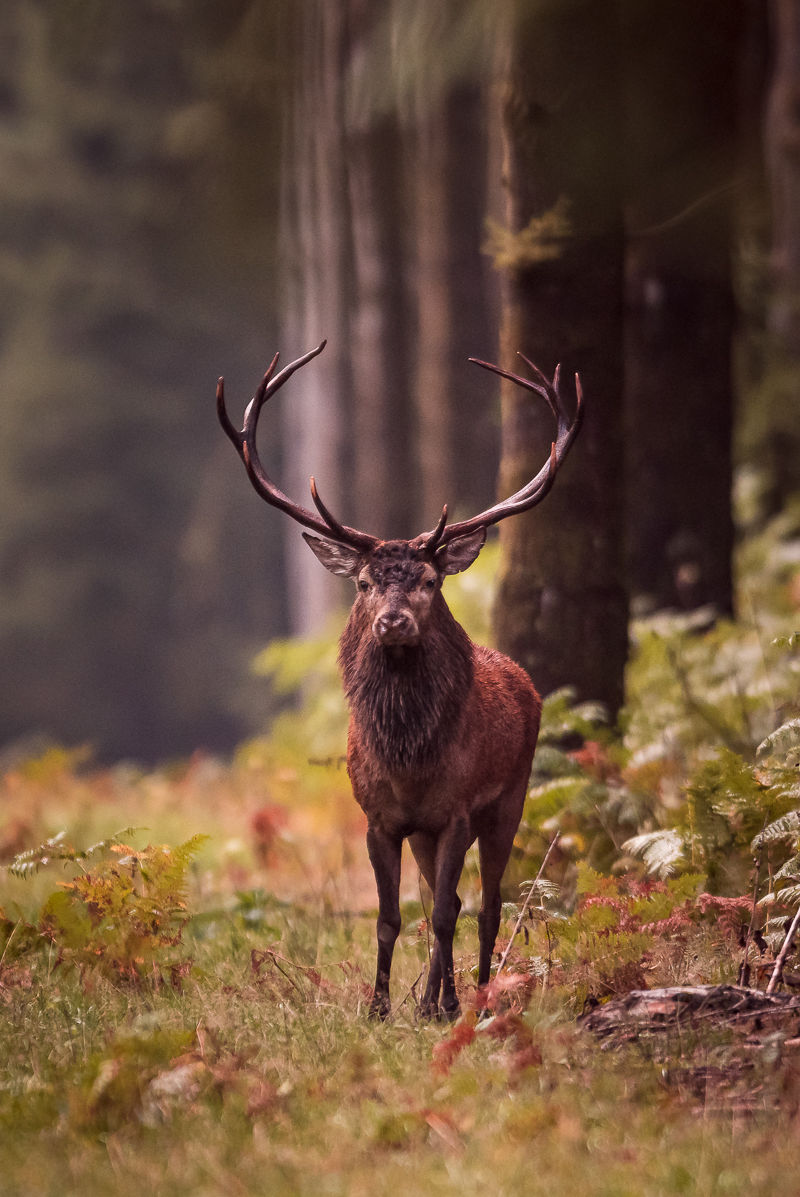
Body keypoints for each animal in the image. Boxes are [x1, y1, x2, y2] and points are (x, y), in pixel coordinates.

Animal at [217, 341, 583, 1020]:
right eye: (364, 582)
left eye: (430, 581)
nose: (393, 621)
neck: (408, 761)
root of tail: (525, 681)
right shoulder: (380, 818)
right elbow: (392, 916)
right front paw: (382, 1007)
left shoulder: (457, 810)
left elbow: (442, 914)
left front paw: (449, 1006)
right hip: (430, 832)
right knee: (454, 901)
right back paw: (431, 1001)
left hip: (510, 798)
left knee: (487, 905)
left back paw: (474, 998)